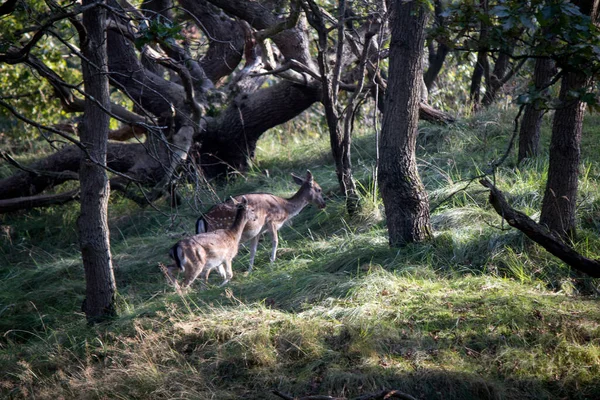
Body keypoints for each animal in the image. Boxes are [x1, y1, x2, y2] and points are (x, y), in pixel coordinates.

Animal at [195, 170, 326, 274]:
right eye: (319, 189)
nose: (323, 204)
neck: (285, 209)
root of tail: (202, 219)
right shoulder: (272, 221)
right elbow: (275, 241)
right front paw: (272, 263)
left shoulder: (258, 232)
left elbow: (253, 250)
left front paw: (249, 270)